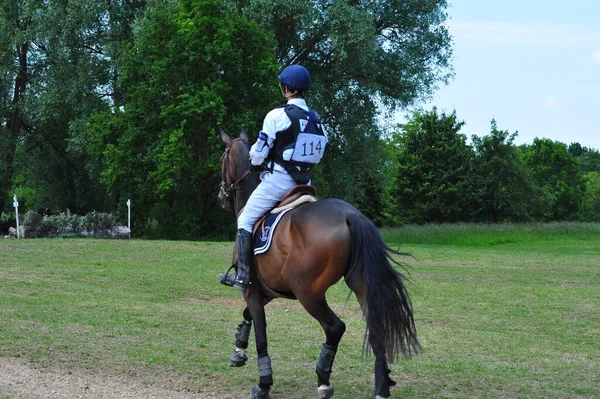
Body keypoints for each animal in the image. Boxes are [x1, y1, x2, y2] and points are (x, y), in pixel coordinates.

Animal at [218, 130, 420, 398]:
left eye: (222, 160)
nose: (221, 197)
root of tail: (351, 215)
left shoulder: (251, 288)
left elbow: (261, 333)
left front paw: (263, 384)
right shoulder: (268, 290)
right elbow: (247, 315)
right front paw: (238, 351)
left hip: (308, 292)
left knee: (335, 327)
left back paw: (323, 379)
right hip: (361, 286)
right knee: (376, 329)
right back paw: (381, 386)